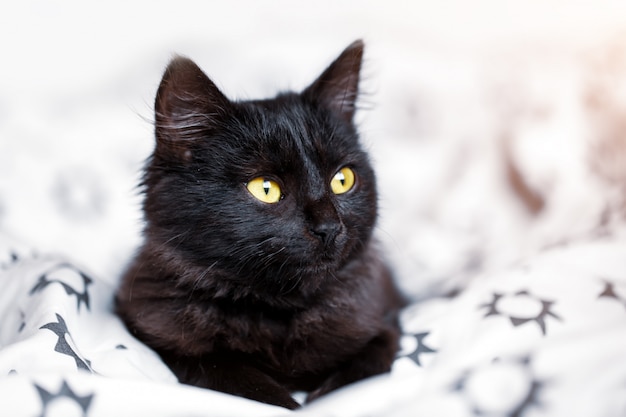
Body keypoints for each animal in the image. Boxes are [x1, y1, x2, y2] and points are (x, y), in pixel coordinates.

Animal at [114, 40, 402, 408]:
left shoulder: (382, 321)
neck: (277, 313)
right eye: (265, 188)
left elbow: (362, 374)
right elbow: (245, 384)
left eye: (342, 180)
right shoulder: (167, 337)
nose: (329, 227)